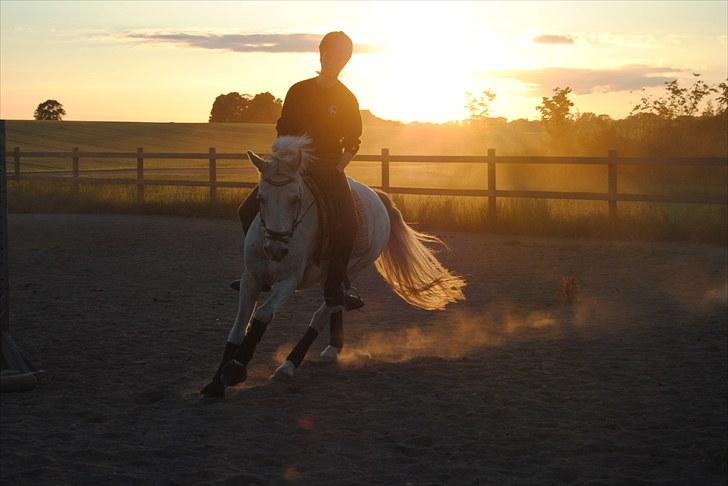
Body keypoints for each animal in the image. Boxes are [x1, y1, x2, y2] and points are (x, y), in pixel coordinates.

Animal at [199, 135, 466, 396]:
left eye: (295, 199)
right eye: (261, 198)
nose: (276, 250)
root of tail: (378, 197)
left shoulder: (289, 281)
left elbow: (263, 314)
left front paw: (236, 368)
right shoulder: (251, 277)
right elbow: (238, 325)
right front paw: (216, 382)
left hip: (356, 267)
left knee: (324, 310)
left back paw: (289, 365)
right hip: (330, 273)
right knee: (334, 299)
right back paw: (333, 348)